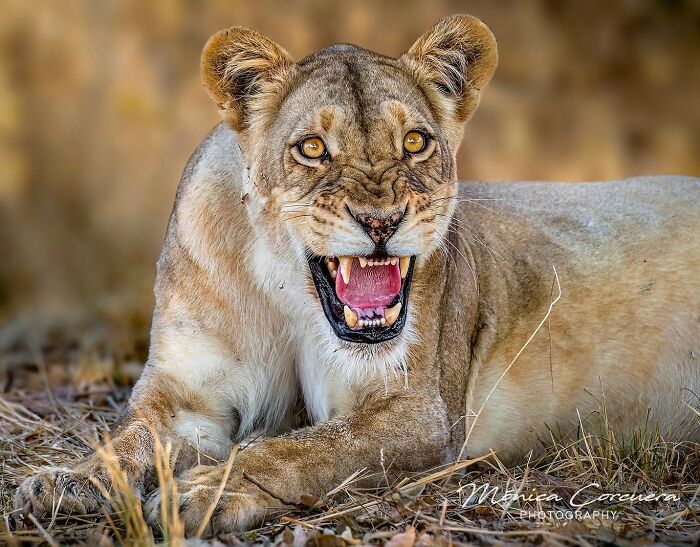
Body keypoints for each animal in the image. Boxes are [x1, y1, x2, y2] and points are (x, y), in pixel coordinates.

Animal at [15, 15, 700, 535]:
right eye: (313, 148)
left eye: (416, 142)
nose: (381, 221)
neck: (286, 293)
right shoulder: (187, 397)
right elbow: (127, 440)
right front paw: (61, 481)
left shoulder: (417, 414)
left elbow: (301, 447)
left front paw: (203, 491)